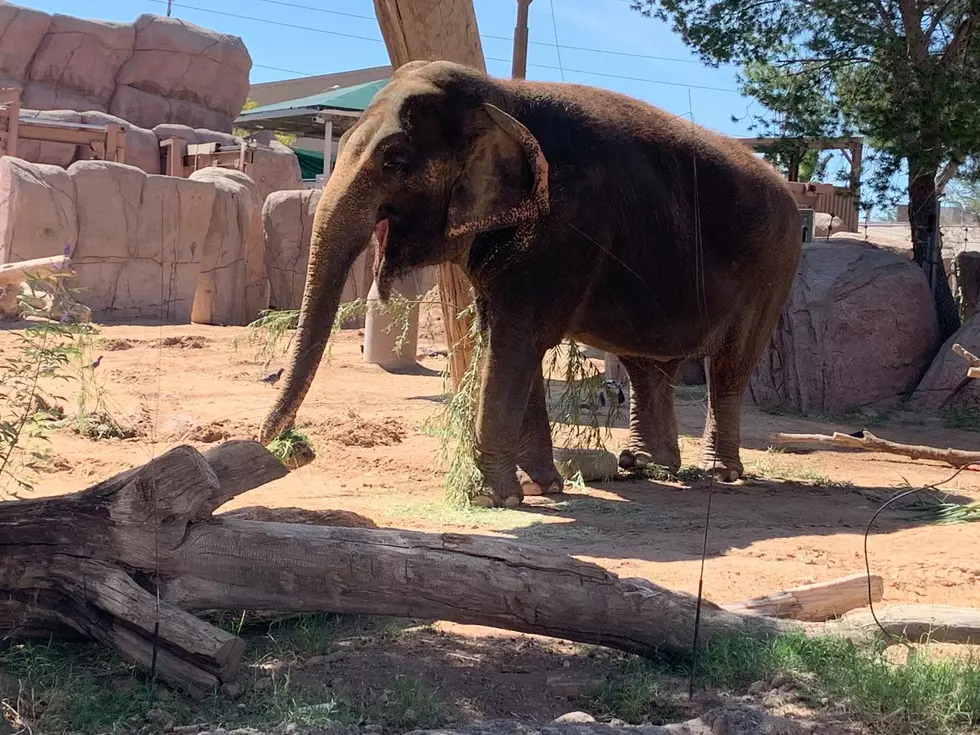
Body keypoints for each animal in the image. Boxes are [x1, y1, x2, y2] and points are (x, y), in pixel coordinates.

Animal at [262, 59, 804, 506]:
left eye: (395, 159)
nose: (291, 449)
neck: (502, 96)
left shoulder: (568, 228)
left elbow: (518, 339)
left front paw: (490, 497)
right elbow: (504, 338)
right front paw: (539, 487)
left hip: (774, 266)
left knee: (729, 367)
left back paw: (718, 473)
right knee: (648, 364)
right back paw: (646, 467)